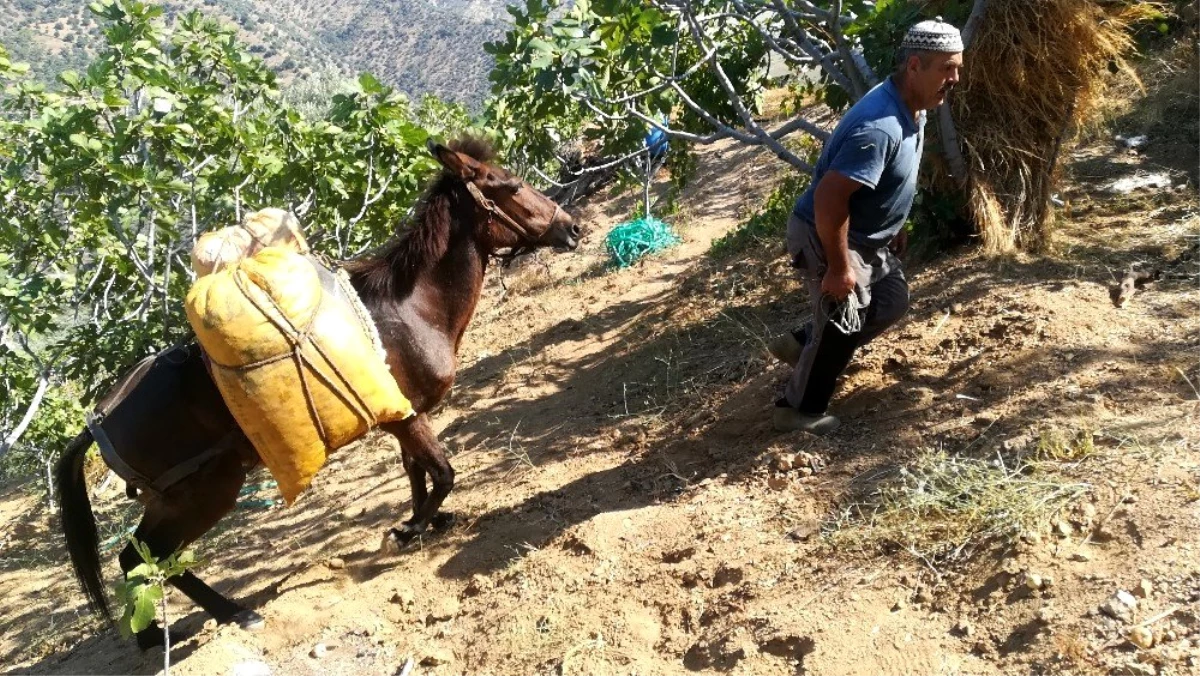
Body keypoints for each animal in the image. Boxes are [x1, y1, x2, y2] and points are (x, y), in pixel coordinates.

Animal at [56, 138, 580, 648]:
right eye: (510, 186)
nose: (571, 228)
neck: (411, 308)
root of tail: (97, 422)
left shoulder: (404, 419)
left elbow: (417, 473)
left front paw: (424, 523)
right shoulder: (408, 418)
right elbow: (444, 474)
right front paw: (409, 530)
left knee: (141, 559)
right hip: (202, 494)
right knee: (137, 558)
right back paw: (228, 617)